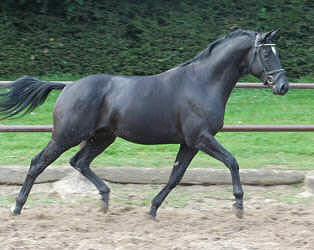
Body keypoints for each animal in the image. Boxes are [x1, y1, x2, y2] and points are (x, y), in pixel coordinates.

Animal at [0, 28, 290, 217]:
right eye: (266, 55)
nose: (283, 86)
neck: (201, 83)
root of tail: (68, 86)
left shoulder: (189, 143)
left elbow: (175, 176)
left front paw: (152, 209)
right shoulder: (201, 138)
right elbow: (232, 161)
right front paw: (239, 205)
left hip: (102, 137)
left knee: (79, 162)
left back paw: (105, 200)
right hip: (65, 136)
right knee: (38, 163)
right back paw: (17, 207)